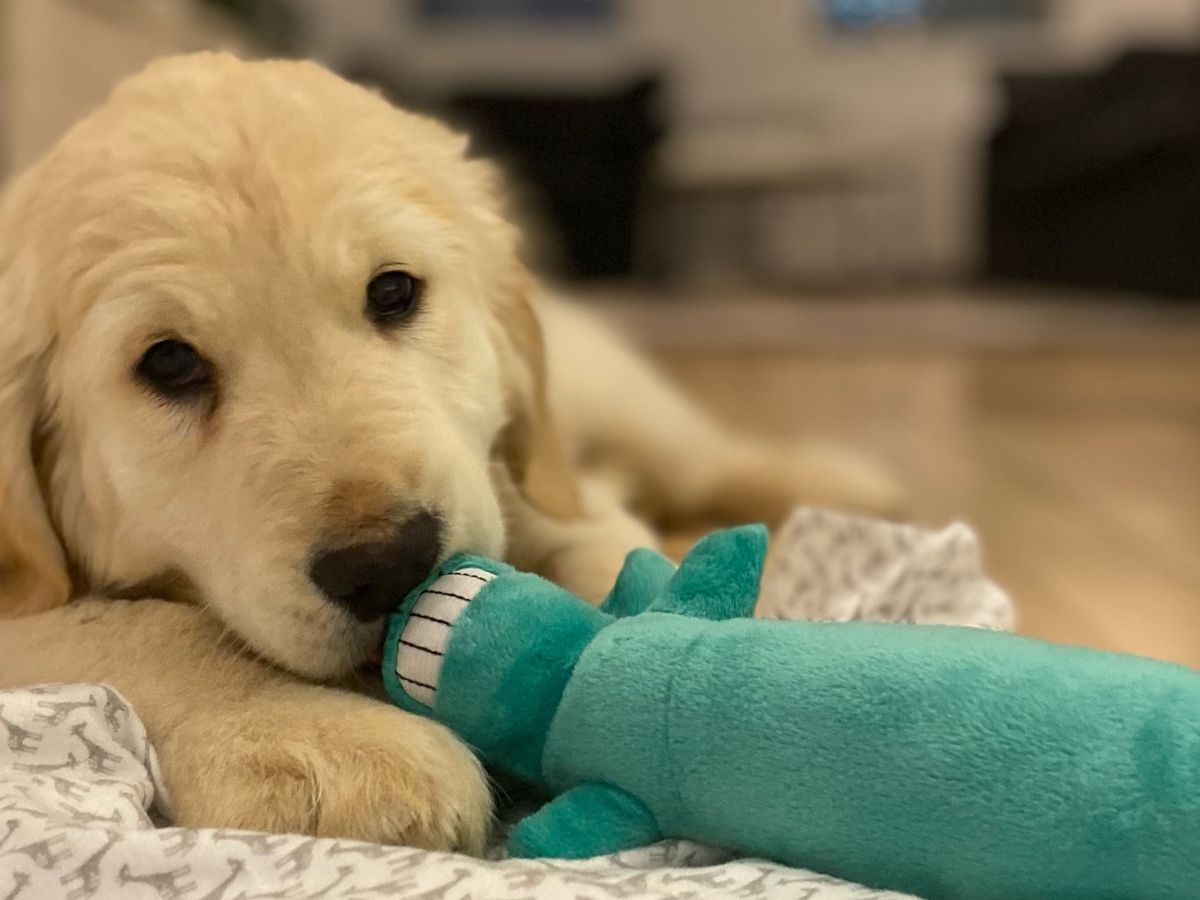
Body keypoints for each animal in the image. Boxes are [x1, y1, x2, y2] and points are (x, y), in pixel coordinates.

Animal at [0, 54, 903, 851]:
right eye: (169, 364)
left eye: (394, 291)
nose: (390, 563)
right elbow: (123, 628)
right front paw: (315, 734)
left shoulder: (518, 482)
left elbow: (597, 539)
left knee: (706, 457)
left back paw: (848, 483)